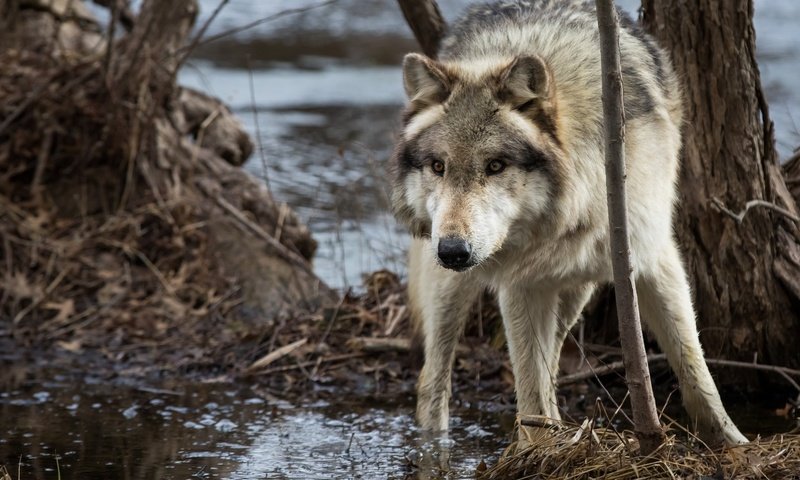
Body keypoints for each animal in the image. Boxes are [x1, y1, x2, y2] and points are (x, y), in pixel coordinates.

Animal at [390, 0, 748, 446]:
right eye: (438, 166)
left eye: (496, 165)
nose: (453, 251)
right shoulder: (519, 283)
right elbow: (529, 388)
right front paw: (538, 451)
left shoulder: (654, 258)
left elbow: (695, 369)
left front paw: (734, 444)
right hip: (453, 287)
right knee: (433, 379)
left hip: (576, 290)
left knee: (553, 357)